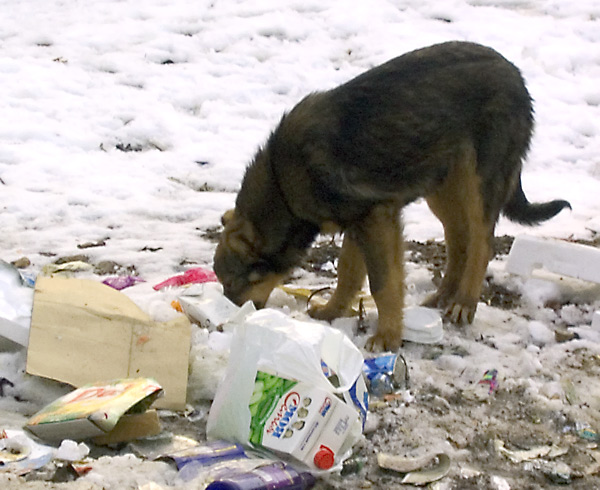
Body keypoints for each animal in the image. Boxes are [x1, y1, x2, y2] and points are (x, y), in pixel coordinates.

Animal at [213, 41, 568, 348]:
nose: (223, 325)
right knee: (459, 243)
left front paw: (387, 337)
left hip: (477, 184)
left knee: (482, 246)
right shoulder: (358, 221)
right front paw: (333, 311)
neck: (283, 183)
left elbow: (383, 284)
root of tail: (516, 74)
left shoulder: (377, 219)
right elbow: (348, 275)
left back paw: (464, 303)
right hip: (442, 189)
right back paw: (443, 296)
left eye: (232, 283)